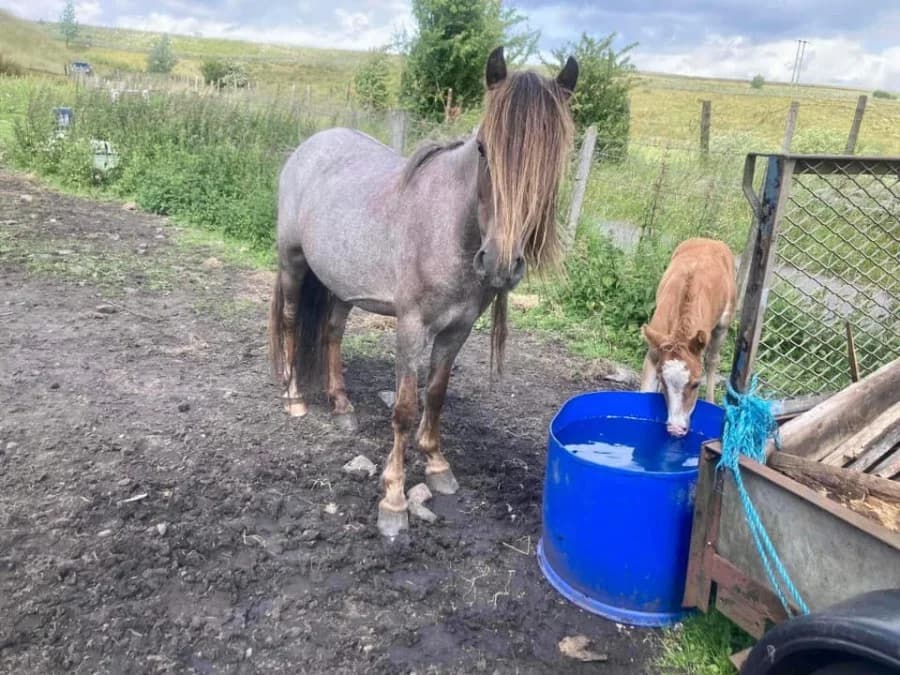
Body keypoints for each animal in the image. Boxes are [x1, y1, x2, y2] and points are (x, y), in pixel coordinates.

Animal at [269, 46, 579, 537]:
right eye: (483, 148)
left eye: (555, 156)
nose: (499, 262)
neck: (450, 229)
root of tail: (309, 147)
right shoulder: (412, 326)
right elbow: (405, 408)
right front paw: (393, 499)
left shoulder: (458, 329)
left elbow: (435, 394)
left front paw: (436, 464)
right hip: (293, 263)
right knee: (289, 322)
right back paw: (295, 398)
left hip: (341, 284)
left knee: (332, 334)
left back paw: (341, 407)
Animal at [639, 238, 736, 437]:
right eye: (663, 380)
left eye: (696, 384)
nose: (676, 429)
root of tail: (709, 240)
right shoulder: (654, 350)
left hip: (724, 323)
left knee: (712, 359)